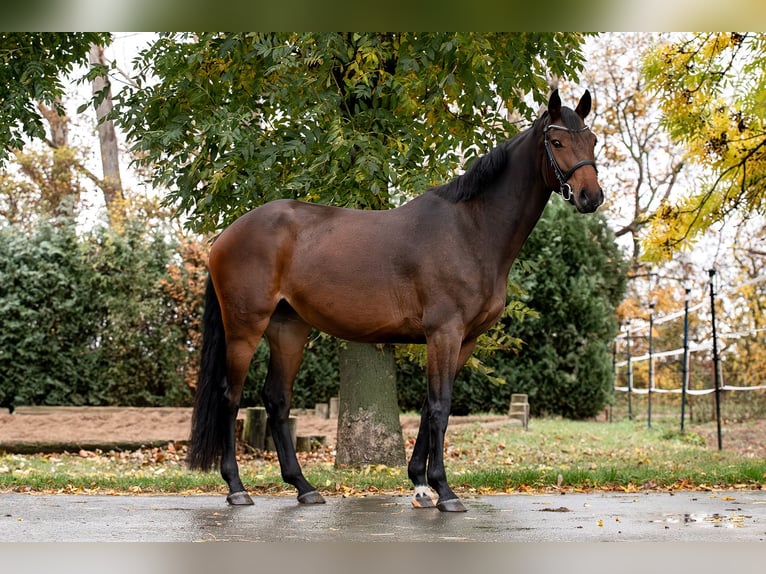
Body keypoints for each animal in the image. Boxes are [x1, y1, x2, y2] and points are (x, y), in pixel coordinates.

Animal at [189, 89, 603, 512]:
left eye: (592, 141)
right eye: (557, 143)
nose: (592, 197)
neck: (471, 229)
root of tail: (226, 235)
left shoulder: (464, 341)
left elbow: (428, 406)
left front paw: (420, 484)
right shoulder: (444, 333)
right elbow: (440, 406)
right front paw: (444, 490)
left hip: (289, 328)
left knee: (276, 400)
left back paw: (303, 487)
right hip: (245, 327)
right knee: (230, 396)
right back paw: (236, 487)